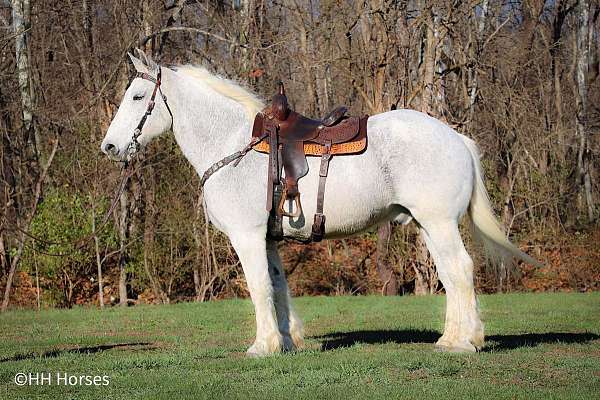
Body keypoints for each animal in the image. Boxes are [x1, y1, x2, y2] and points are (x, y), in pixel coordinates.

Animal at [102, 51, 540, 354]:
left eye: (137, 96)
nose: (110, 147)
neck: (233, 145)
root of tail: (456, 137)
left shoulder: (247, 237)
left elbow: (258, 287)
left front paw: (263, 346)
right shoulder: (268, 240)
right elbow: (277, 286)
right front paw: (287, 341)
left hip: (440, 223)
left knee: (461, 270)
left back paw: (465, 343)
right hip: (429, 225)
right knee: (450, 274)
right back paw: (452, 338)